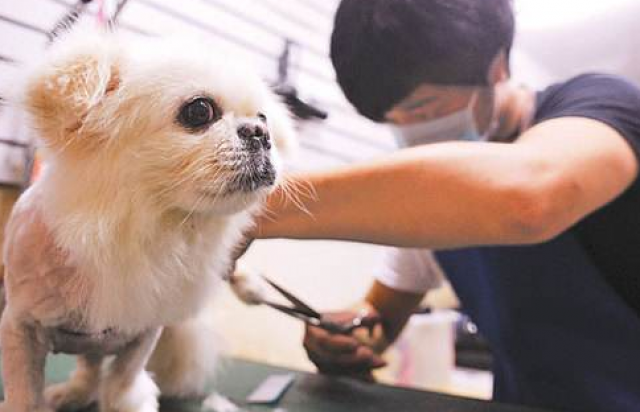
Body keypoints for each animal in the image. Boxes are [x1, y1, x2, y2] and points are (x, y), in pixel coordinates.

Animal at [0, 28, 294, 412]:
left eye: (263, 117)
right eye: (199, 110)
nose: (260, 132)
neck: (147, 227)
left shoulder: (143, 330)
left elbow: (123, 381)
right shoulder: (22, 328)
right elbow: (25, 393)